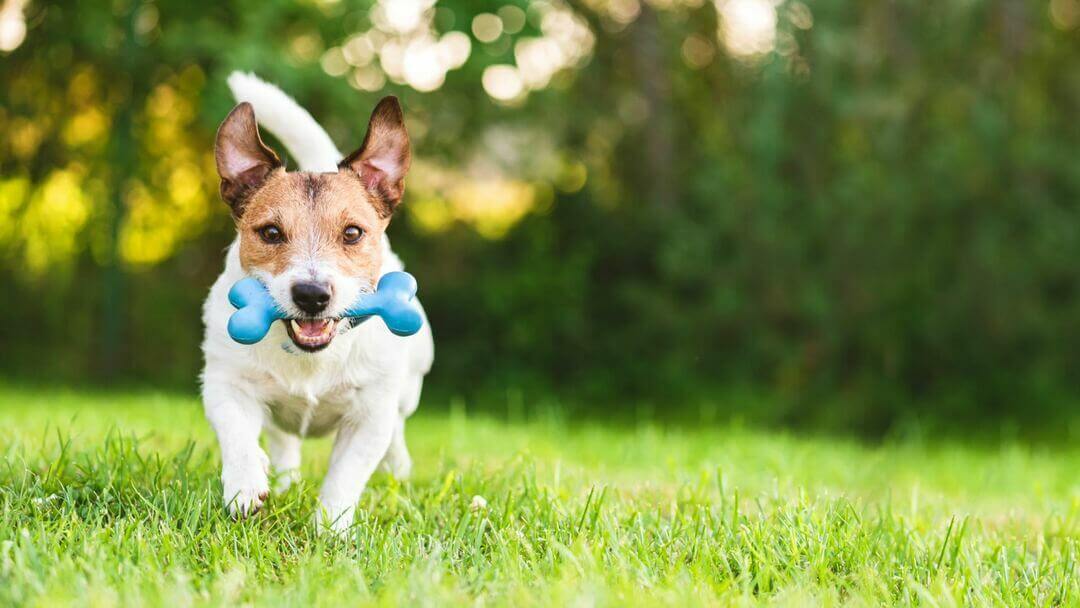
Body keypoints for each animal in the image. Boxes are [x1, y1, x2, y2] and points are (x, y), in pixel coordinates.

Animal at [198, 73, 434, 535]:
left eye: (353, 233)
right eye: (271, 233)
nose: (311, 295)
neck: (311, 357)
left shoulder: (370, 415)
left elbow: (346, 474)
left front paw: (333, 527)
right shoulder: (224, 382)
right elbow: (237, 432)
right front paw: (245, 483)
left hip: (408, 389)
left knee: (398, 431)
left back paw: (398, 471)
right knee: (283, 438)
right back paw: (281, 477)